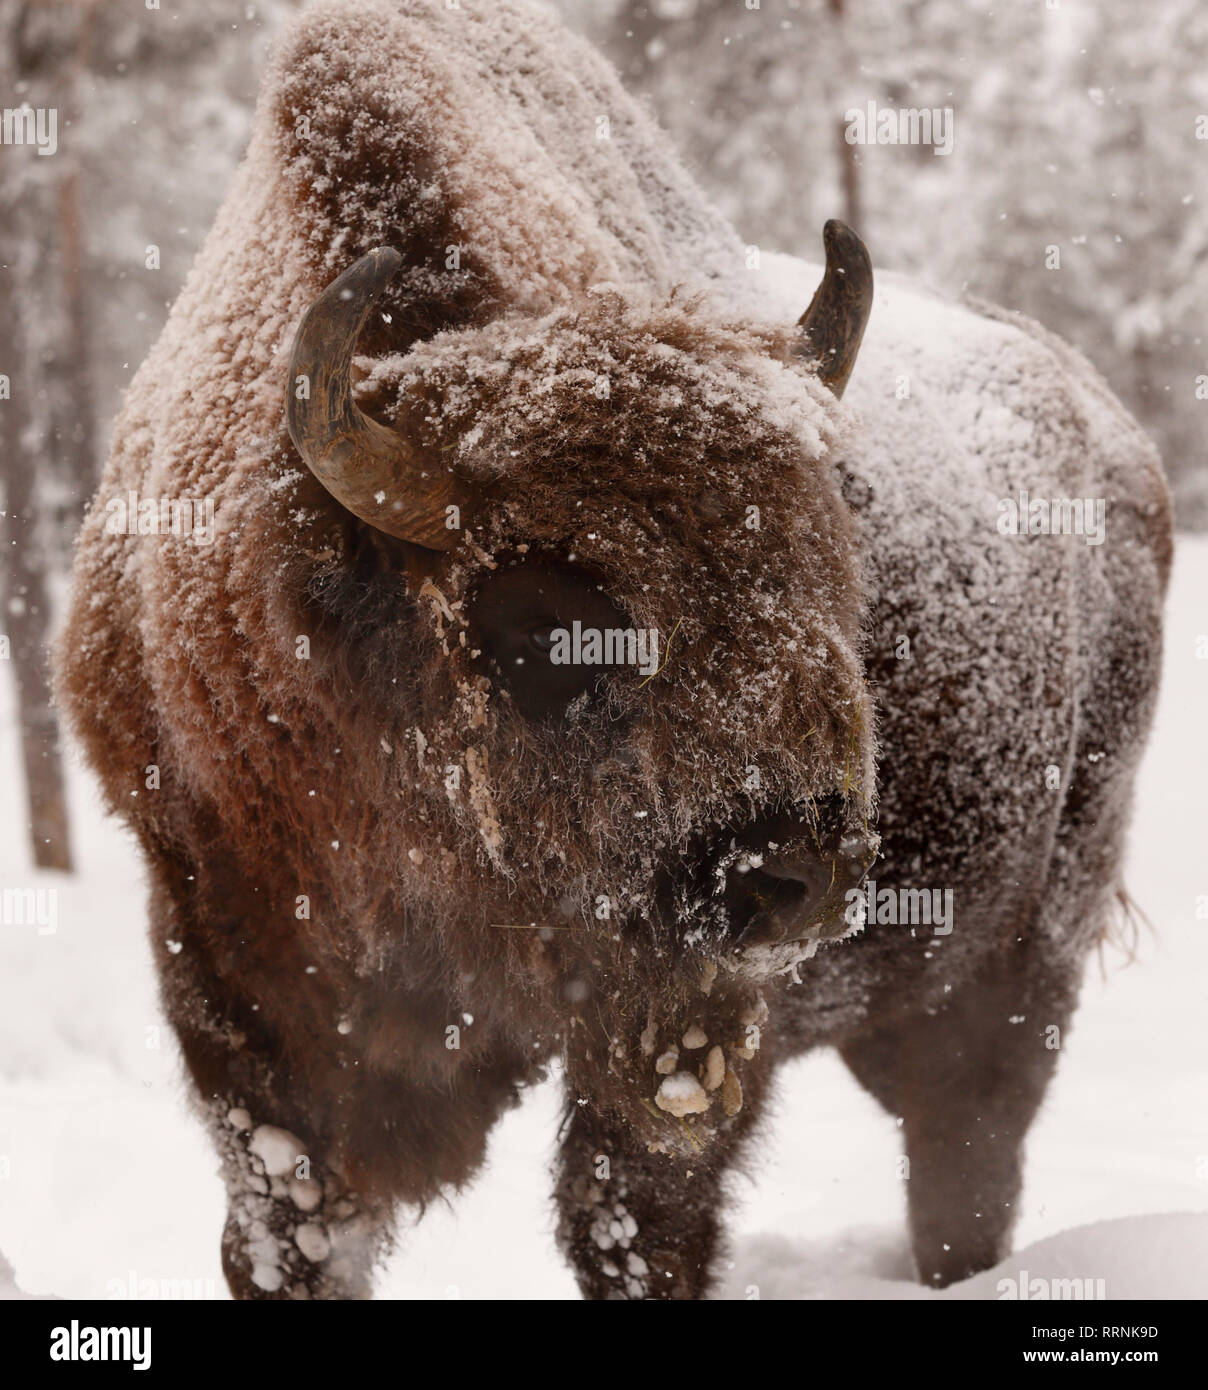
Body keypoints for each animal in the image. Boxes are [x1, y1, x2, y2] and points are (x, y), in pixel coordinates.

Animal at [56, 0, 1167, 1301]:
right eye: (542, 623)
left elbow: (628, 1216)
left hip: (1018, 965)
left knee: (964, 1157)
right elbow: (286, 1222)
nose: (786, 872)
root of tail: (1108, 426)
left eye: (825, 563)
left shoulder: (681, 1023)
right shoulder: (233, 978)